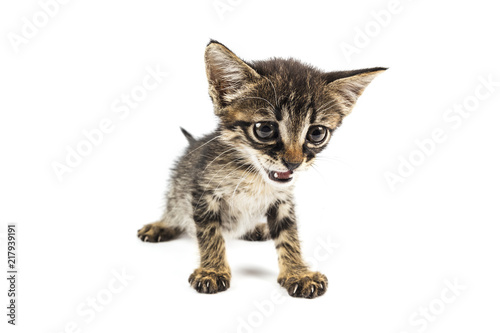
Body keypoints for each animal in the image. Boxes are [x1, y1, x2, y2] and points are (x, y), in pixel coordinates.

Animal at [138, 40, 386, 296]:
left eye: (317, 133)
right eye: (265, 129)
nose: (294, 162)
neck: (253, 176)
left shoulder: (283, 199)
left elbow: (289, 235)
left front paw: (298, 272)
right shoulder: (203, 191)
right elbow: (210, 233)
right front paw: (213, 270)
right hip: (179, 188)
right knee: (174, 209)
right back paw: (161, 225)